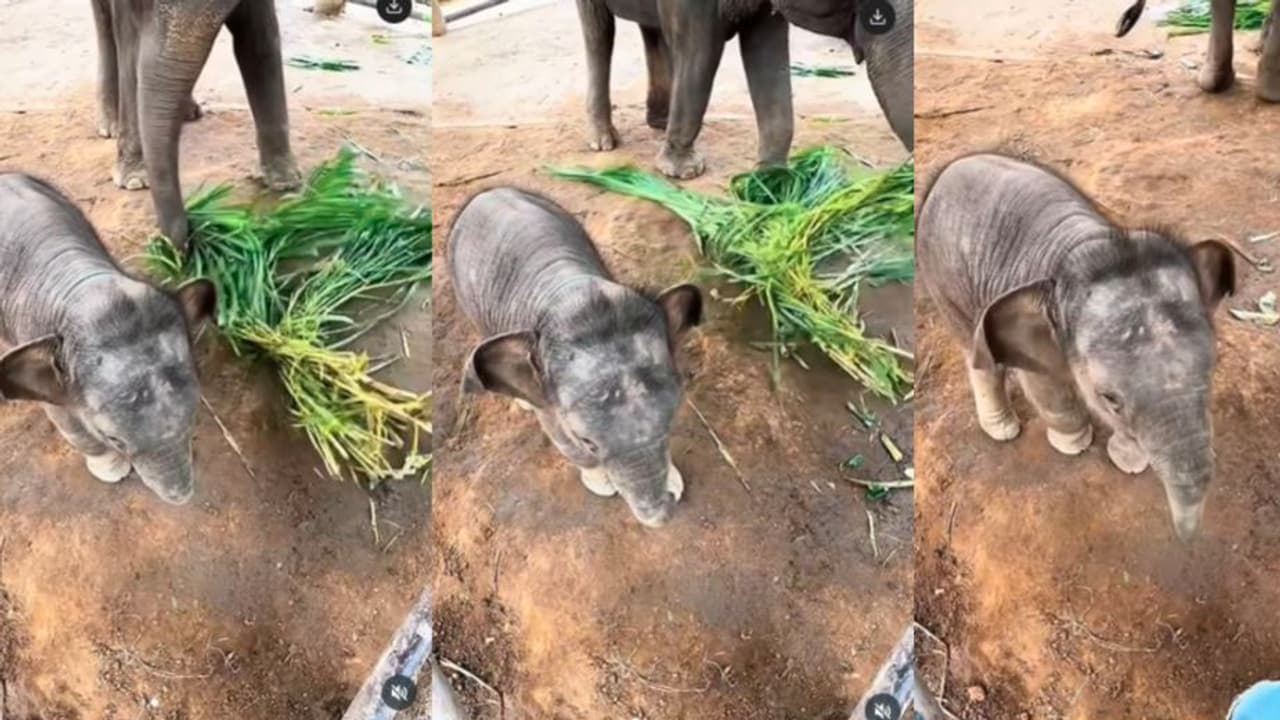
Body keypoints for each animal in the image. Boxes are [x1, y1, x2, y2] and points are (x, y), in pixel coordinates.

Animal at [92, 0, 302, 249]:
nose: (178, 245)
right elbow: (129, 47)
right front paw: (134, 181)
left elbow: (258, 38)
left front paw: (284, 182)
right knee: (103, 20)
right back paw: (110, 126)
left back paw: (188, 112)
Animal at [574, 0, 913, 179]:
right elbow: (701, 51)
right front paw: (682, 173)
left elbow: (765, 48)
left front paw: (770, 178)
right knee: (598, 31)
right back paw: (603, 142)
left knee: (650, 29)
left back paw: (658, 122)